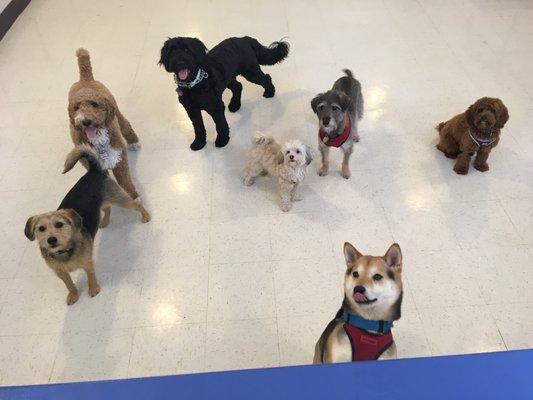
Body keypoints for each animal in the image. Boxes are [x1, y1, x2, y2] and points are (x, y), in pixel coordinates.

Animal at [159, 36, 288, 151]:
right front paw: (199, 143)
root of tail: (245, 38)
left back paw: (270, 92)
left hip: (251, 73)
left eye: (187, 50)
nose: (179, 62)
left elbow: (220, 125)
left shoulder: (216, 108)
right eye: (172, 51)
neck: (195, 85)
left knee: (266, 78)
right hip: (228, 78)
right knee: (238, 86)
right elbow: (198, 128)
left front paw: (222, 140)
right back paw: (235, 105)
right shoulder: (192, 110)